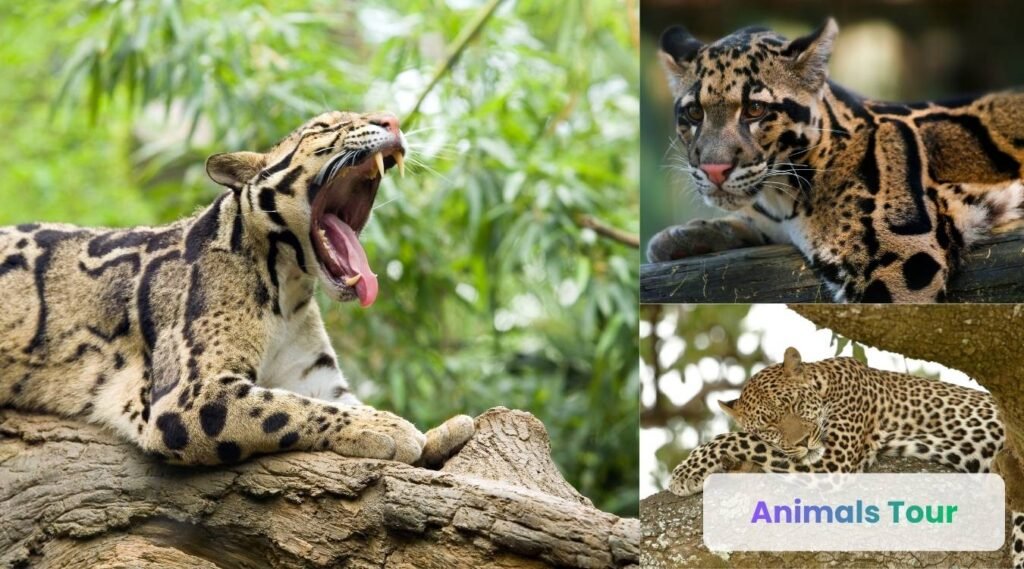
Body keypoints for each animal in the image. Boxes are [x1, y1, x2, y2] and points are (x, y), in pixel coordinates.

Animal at [0, 110, 474, 468]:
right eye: (325, 126)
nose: (392, 120)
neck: (289, 292)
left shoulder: (315, 375)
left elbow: (334, 402)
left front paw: (438, 432)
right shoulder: (188, 395)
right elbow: (289, 408)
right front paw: (389, 428)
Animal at [647, 18, 1024, 302]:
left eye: (755, 109)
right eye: (694, 113)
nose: (714, 169)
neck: (783, 193)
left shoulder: (904, 260)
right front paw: (687, 235)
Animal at [669, 347, 1023, 566]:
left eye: (794, 404)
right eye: (768, 424)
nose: (803, 442)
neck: (826, 383)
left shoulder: (831, 462)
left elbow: (737, 438)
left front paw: (685, 472)